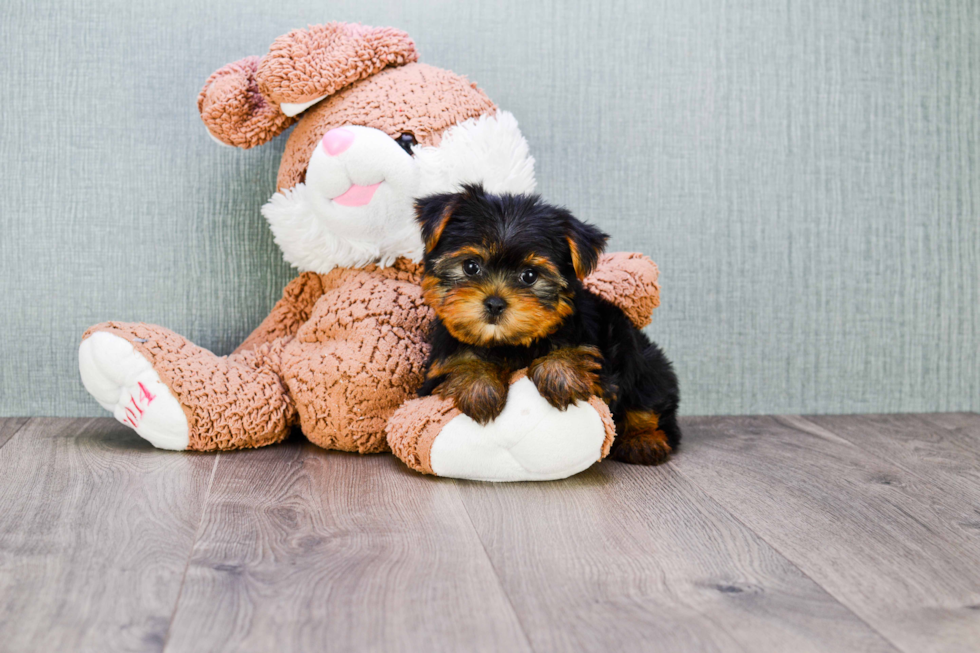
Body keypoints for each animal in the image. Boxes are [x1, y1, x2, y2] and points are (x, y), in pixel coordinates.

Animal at [414, 186, 680, 466]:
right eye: (470, 266)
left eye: (530, 276)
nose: (495, 303)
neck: (507, 343)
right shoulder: (435, 373)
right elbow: (461, 362)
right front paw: (478, 384)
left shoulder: (601, 370)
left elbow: (578, 356)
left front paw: (560, 373)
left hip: (642, 359)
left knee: (647, 403)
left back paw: (644, 440)